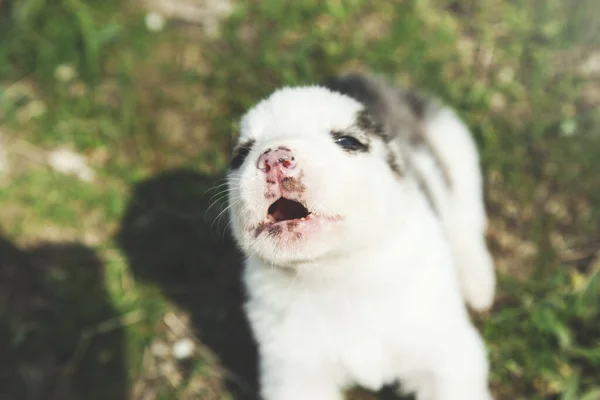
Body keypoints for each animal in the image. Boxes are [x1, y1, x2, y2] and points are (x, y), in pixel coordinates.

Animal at [227, 75, 494, 400]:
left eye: (347, 141)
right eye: (241, 154)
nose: (274, 158)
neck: (339, 276)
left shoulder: (448, 353)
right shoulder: (294, 372)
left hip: (453, 144)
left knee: (466, 219)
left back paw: (478, 283)